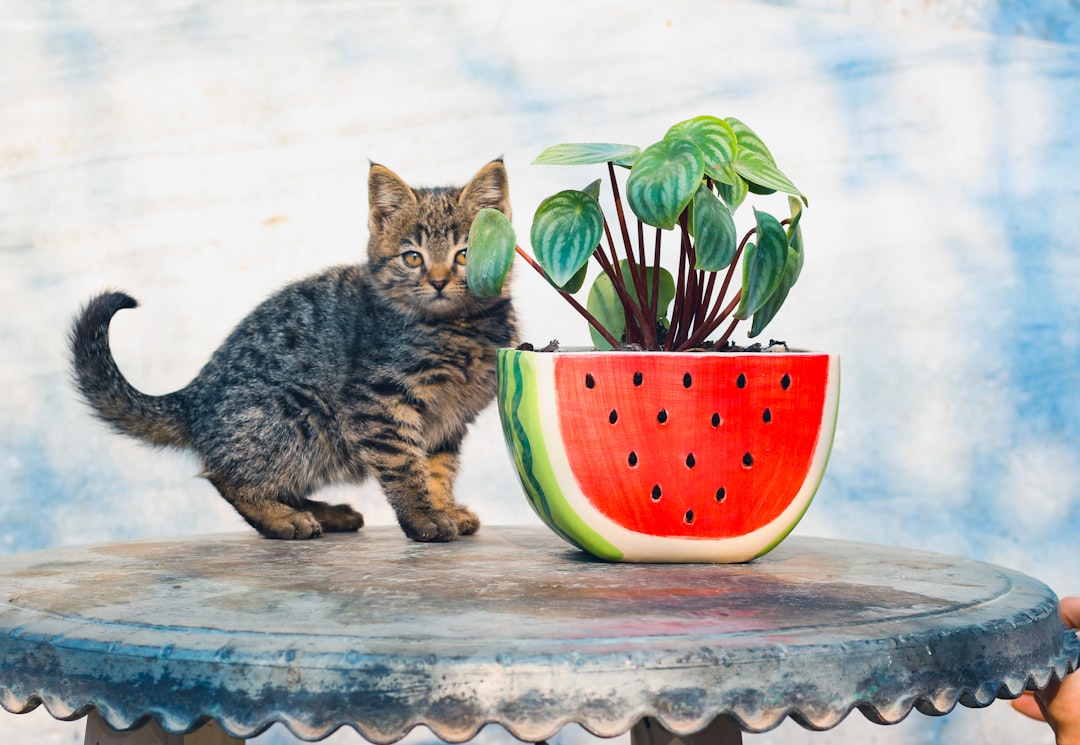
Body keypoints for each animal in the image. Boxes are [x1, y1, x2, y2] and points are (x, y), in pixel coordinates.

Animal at [69, 159, 516, 539]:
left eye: (464, 254)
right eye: (412, 258)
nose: (438, 281)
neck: (460, 328)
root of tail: (194, 397)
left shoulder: (447, 421)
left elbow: (438, 468)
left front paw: (444, 507)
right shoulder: (378, 403)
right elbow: (404, 465)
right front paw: (424, 518)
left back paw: (324, 513)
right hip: (300, 413)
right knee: (226, 475)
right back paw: (283, 519)